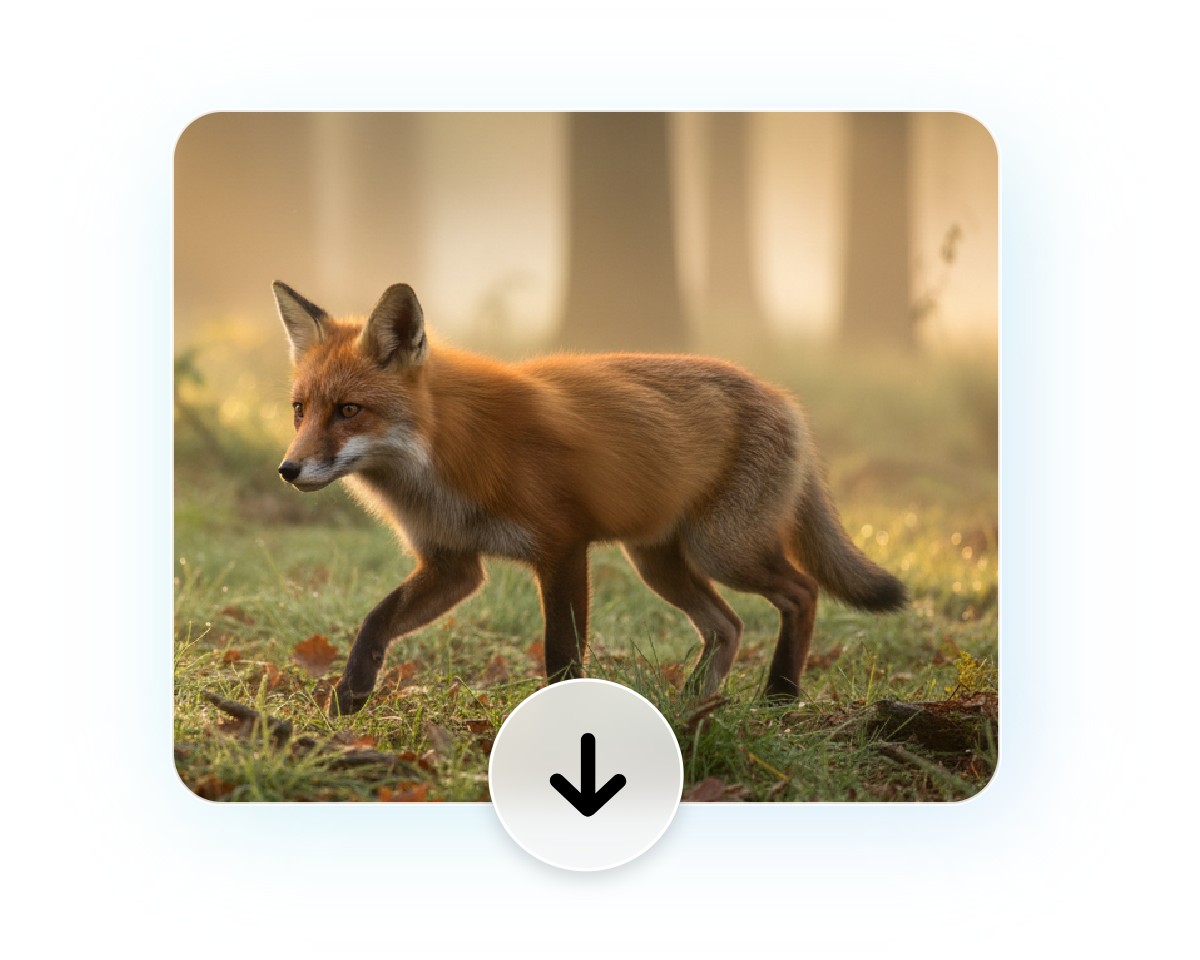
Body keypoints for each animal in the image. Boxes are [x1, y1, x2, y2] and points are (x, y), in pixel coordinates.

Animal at [274, 280, 906, 715]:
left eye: (349, 410)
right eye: (300, 410)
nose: (288, 469)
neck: (444, 459)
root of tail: (783, 397)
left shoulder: (561, 547)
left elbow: (561, 656)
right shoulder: (454, 565)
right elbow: (375, 620)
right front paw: (348, 698)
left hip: (721, 550)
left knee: (801, 592)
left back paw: (779, 695)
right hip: (657, 561)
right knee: (727, 626)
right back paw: (693, 704)